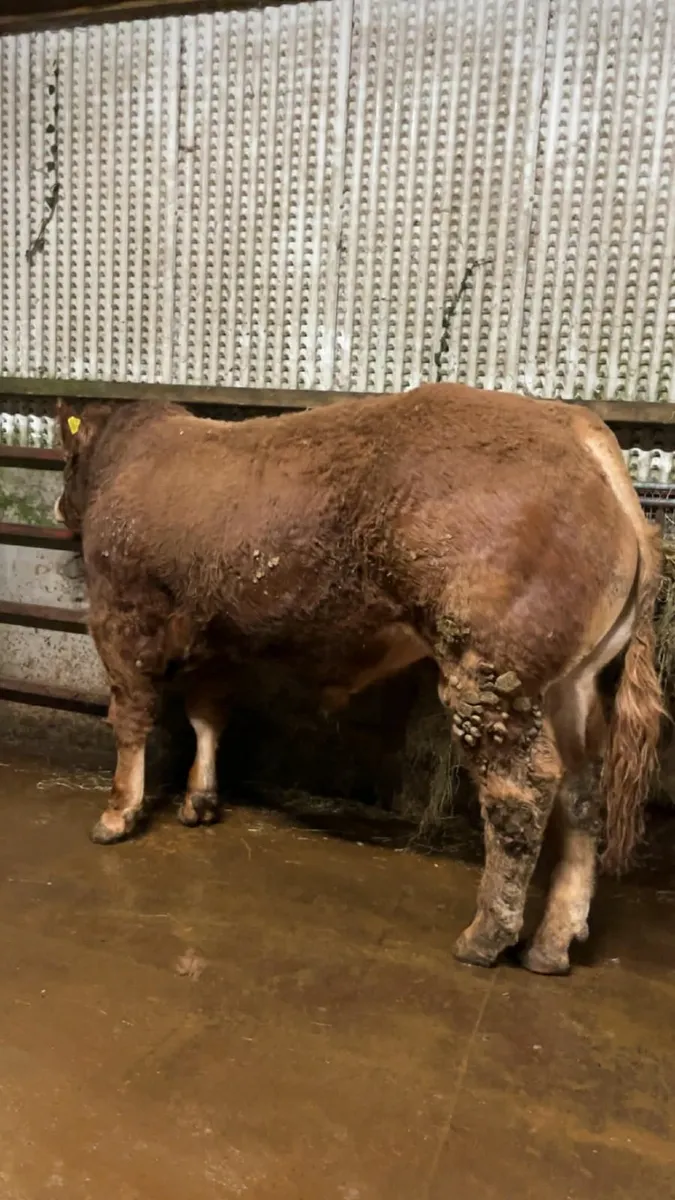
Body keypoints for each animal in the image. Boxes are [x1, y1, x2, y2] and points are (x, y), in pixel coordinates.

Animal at [54, 383, 663, 974]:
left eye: (67, 459)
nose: (60, 504)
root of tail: (576, 429)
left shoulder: (118, 613)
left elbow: (130, 716)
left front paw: (117, 814)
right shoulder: (217, 635)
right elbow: (208, 717)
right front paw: (199, 802)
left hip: (489, 671)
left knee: (522, 792)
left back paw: (486, 937)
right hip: (572, 685)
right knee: (582, 792)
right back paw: (551, 944)